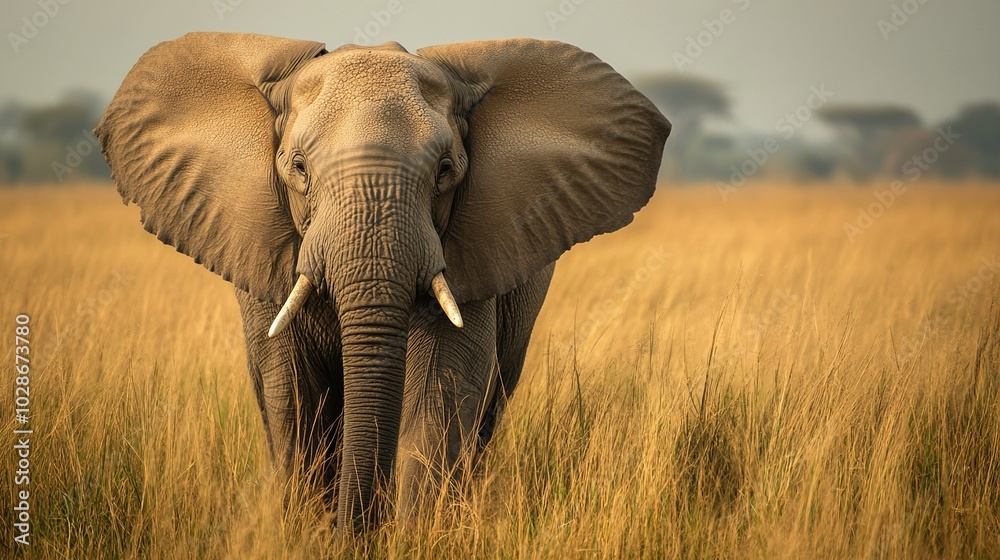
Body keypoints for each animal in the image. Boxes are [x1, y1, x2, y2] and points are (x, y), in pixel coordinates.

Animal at [96, 32, 670, 532]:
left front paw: (410, 537)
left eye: (445, 171)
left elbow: (438, 396)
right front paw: (312, 533)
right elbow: (295, 399)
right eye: (298, 168)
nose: (357, 530)